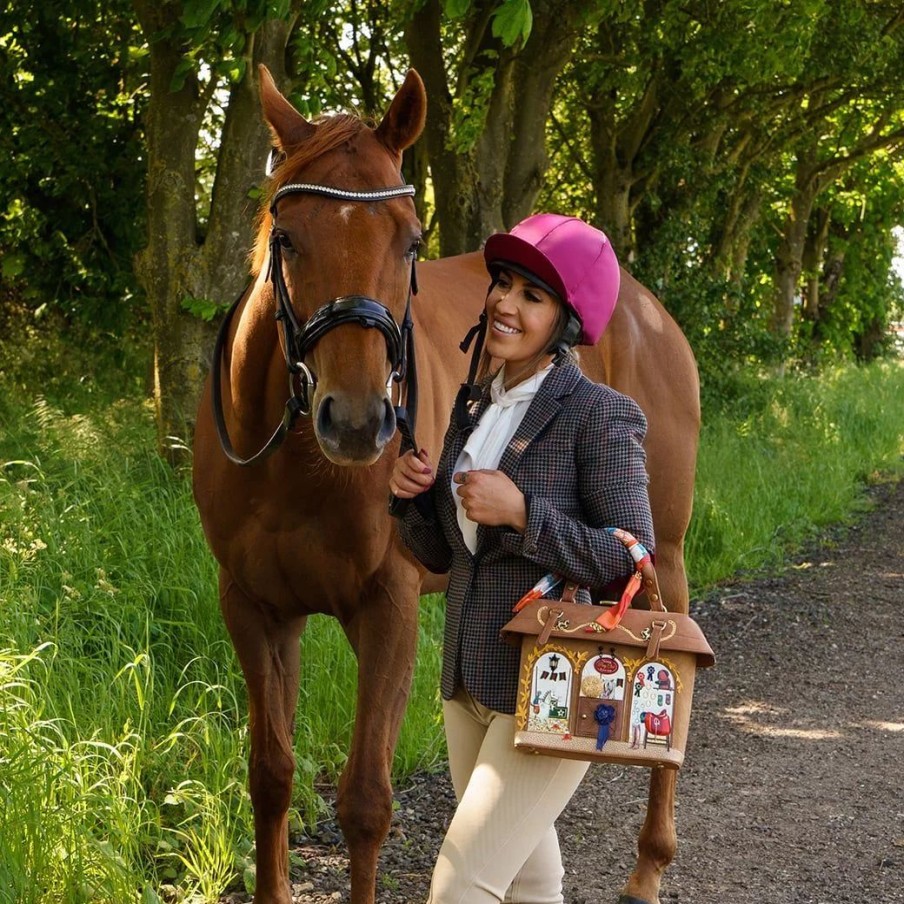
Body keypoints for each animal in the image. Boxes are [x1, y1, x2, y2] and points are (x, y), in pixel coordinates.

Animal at [192, 65, 700, 904]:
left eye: (411, 241)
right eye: (288, 236)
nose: (358, 422)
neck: (296, 468)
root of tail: (649, 313)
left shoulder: (388, 609)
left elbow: (366, 802)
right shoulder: (255, 607)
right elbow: (270, 775)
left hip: (661, 550)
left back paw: (651, 863)